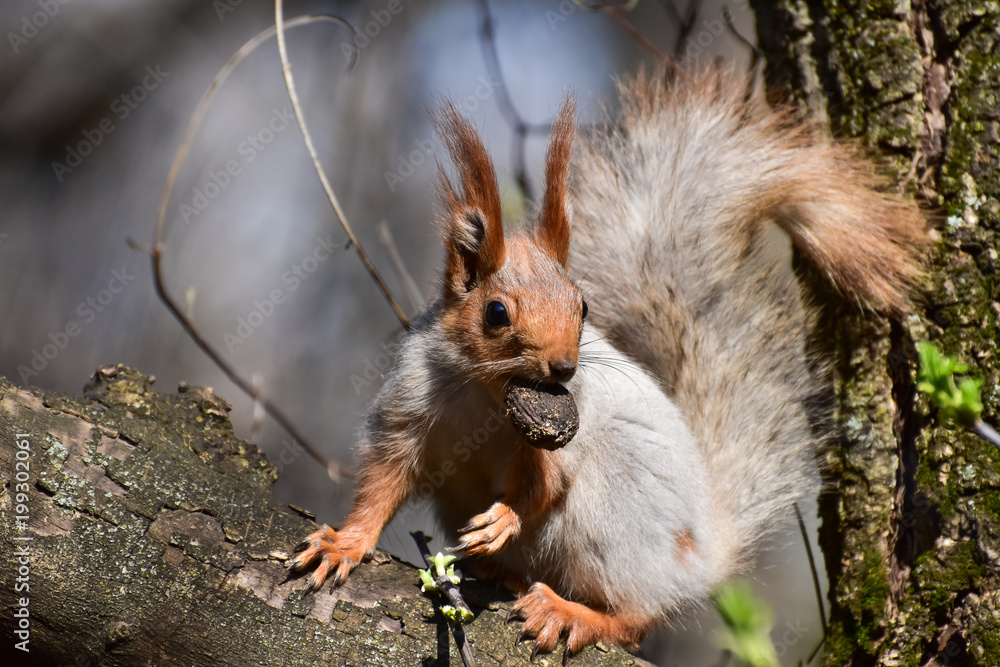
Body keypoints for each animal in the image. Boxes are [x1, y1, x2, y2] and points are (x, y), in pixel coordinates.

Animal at [286, 69, 924, 656]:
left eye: (583, 305)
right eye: (496, 312)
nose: (565, 368)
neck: (485, 396)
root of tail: (701, 554)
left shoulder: (558, 434)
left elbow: (545, 487)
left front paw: (504, 518)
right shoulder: (409, 408)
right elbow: (383, 483)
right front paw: (343, 543)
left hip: (614, 518)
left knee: (636, 617)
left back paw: (571, 612)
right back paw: (501, 572)